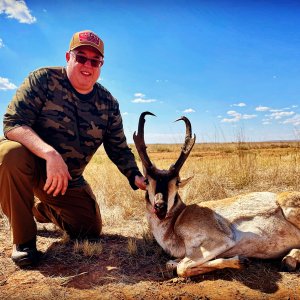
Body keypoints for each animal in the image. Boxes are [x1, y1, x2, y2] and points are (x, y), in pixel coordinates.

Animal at [133, 112, 300, 276]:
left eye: (177, 182)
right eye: (147, 180)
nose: (160, 206)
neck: (177, 219)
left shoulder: (222, 241)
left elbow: (182, 268)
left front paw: (240, 261)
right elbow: (171, 264)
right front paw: (240, 260)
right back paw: (290, 259)